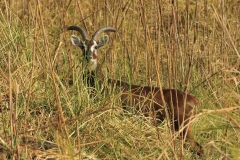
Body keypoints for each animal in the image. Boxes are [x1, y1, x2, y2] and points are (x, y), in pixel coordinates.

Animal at [67, 25, 202, 156]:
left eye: (95, 46)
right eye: (82, 46)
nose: (89, 57)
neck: (103, 83)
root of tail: (195, 101)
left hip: (183, 126)